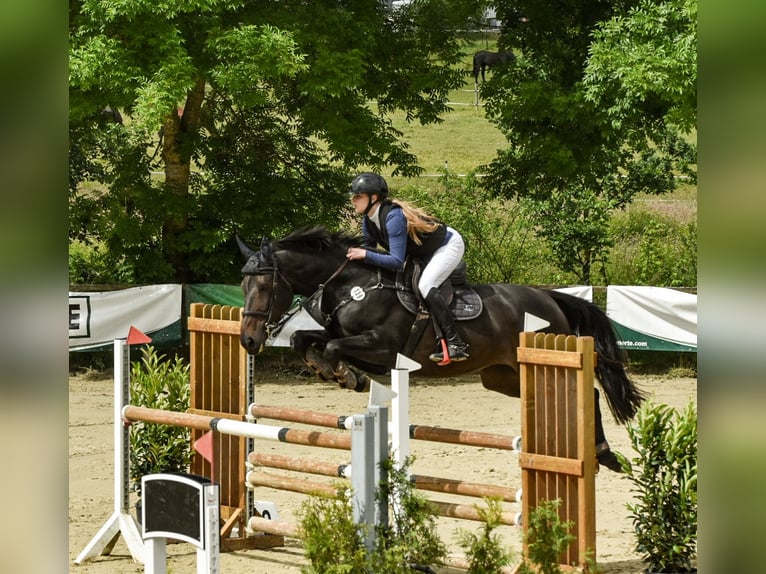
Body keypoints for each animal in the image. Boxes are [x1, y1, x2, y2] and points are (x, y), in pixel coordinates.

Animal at [237, 226, 644, 472]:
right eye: (242, 286)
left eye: (264, 287)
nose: (248, 340)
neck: (353, 284)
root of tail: (549, 298)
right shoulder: (346, 338)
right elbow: (304, 339)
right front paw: (329, 371)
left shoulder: (384, 348)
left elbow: (336, 348)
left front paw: (347, 376)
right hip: (503, 378)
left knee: (590, 393)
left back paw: (604, 454)